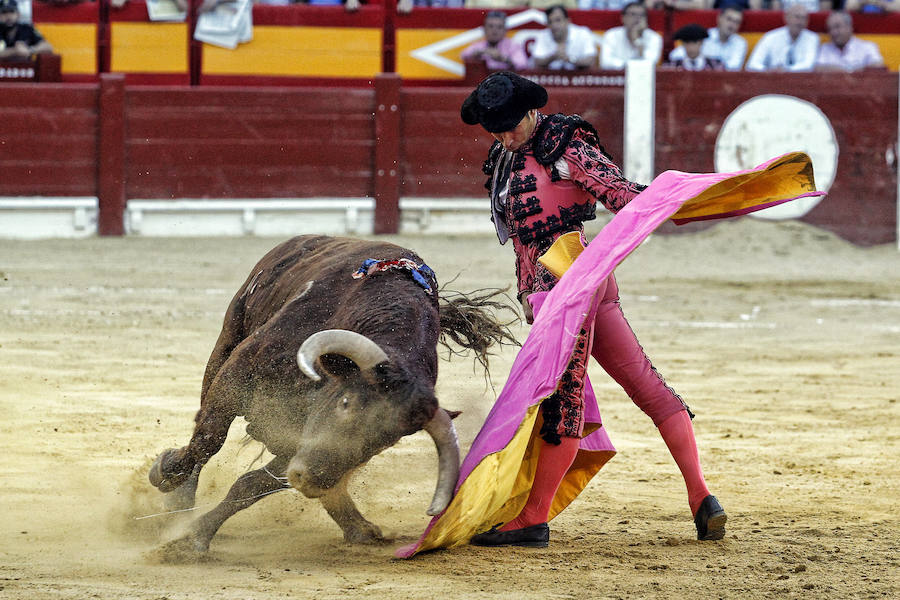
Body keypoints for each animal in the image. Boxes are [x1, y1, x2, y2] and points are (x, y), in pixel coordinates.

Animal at [148, 233, 512, 548]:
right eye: (345, 403)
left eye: (386, 441)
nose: (310, 479)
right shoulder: (239, 373)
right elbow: (208, 439)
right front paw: (167, 475)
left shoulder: (301, 442)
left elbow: (252, 485)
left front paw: (193, 539)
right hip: (228, 337)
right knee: (203, 428)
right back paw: (179, 499)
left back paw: (359, 527)